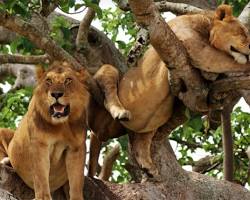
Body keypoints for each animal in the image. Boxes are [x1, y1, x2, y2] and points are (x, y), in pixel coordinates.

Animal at [0, 61, 90, 199]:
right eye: (49, 81)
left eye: (68, 80)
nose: (56, 94)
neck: (61, 125)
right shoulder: (39, 144)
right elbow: (40, 175)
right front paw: (42, 197)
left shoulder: (76, 147)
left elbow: (76, 180)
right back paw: (6, 161)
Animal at [87, 4, 248, 180]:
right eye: (241, 32)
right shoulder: (192, 43)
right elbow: (228, 61)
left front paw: (210, 75)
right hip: (108, 77)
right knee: (108, 89)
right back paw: (120, 111)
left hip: (145, 127)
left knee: (140, 141)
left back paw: (147, 165)